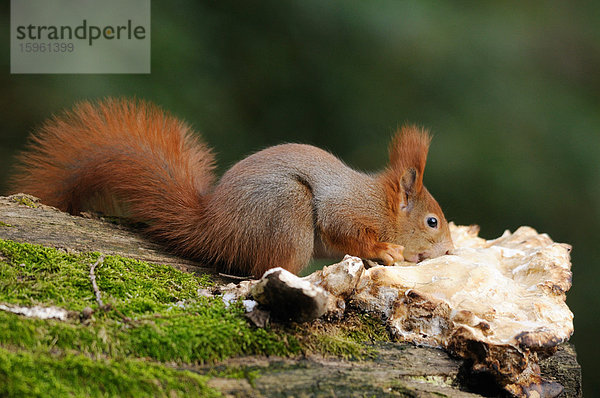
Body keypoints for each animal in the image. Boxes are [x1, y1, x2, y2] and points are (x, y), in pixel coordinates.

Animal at [10, 97, 450, 276]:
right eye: (432, 222)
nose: (449, 251)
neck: (381, 203)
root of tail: (212, 229)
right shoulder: (347, 208)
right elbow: (346, 231)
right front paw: (384, 250)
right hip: (287, 211)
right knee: (262, 270)